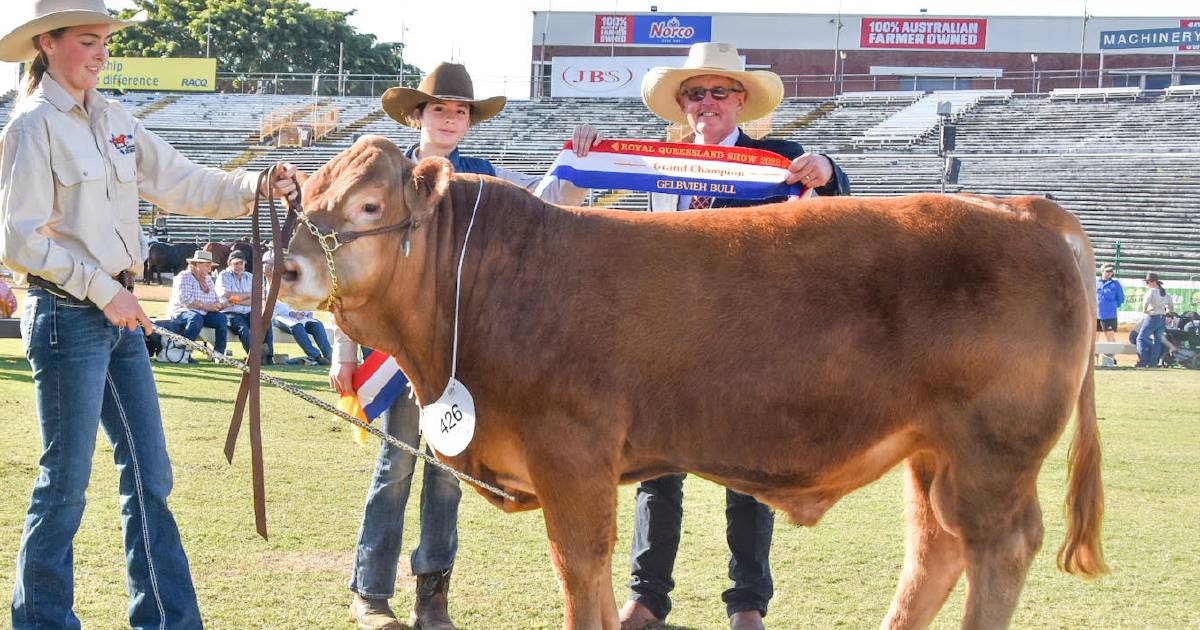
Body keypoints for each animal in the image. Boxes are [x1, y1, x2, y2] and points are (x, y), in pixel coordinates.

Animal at [280, 137, 1104, 628]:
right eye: (305, 196)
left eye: (369, 204)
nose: (285, 266)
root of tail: (1017, 208)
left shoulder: (571, 452)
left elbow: (581, 566)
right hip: (932, 450)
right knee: (936, 547)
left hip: (993, 448)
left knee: (999, 546)